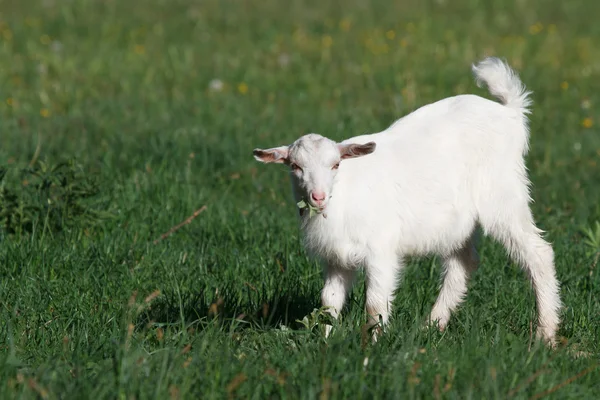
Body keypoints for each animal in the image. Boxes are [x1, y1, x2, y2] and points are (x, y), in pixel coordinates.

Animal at [251, 56, 560, 344]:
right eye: (295, 166)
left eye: (335, 165)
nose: (318, 197)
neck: (343, 194)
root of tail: (511, 113)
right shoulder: (337, 258)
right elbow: (329, 302)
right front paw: (325, 340)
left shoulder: (380, 250)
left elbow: (375, 304)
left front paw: (371, 345)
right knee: (463, 263)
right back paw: (432, 326)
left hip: (503, 195)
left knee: (538, 252)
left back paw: (545, 333)